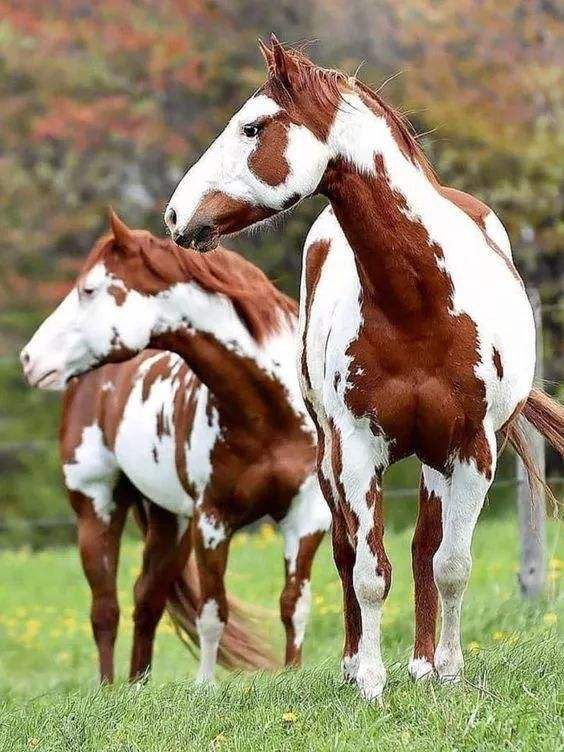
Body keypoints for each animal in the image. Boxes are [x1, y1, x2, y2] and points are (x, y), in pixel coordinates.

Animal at [21, 212, 331, 684]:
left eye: (88, 289)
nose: (29, 359)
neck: (269, 413)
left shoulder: (307, 517)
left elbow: (293, 606)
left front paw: (292, 676)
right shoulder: (212, 521)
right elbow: (212, 612)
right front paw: (205, 688)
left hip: (170, 520)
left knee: (146, 598)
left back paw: (137, 688)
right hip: (96, 506)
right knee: (105, 609)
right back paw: (108, 690)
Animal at [163, 36, 564, 701]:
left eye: (251, 127)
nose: (174, 216)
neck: (418, 306)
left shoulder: (472, 451)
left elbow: (450, 564)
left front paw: (448, 671)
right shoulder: (355, 449)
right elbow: (370, 570)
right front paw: (371, 680)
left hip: (433, 461)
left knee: (426, 549)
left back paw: (423, 664)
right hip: (330, 459)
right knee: (348, 554)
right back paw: (356, 663)